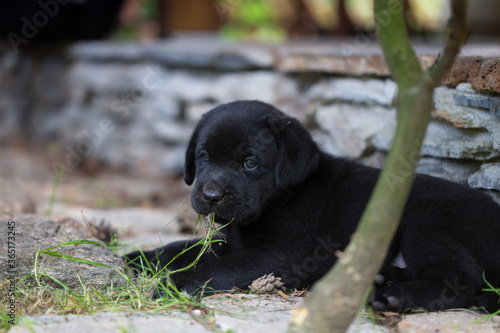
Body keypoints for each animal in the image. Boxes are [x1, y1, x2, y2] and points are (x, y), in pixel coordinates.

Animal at [125, 100, 500, 312]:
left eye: (249, 163)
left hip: (427, 224)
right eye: (204, 156)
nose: (211, 195)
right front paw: (137, 258)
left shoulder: (278, 257)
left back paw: (396, 297)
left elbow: (213, 267)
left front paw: (173, 283)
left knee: (460, 278)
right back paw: (381, 280)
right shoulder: (232, 239)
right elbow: (185, 248)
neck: (280, 200)